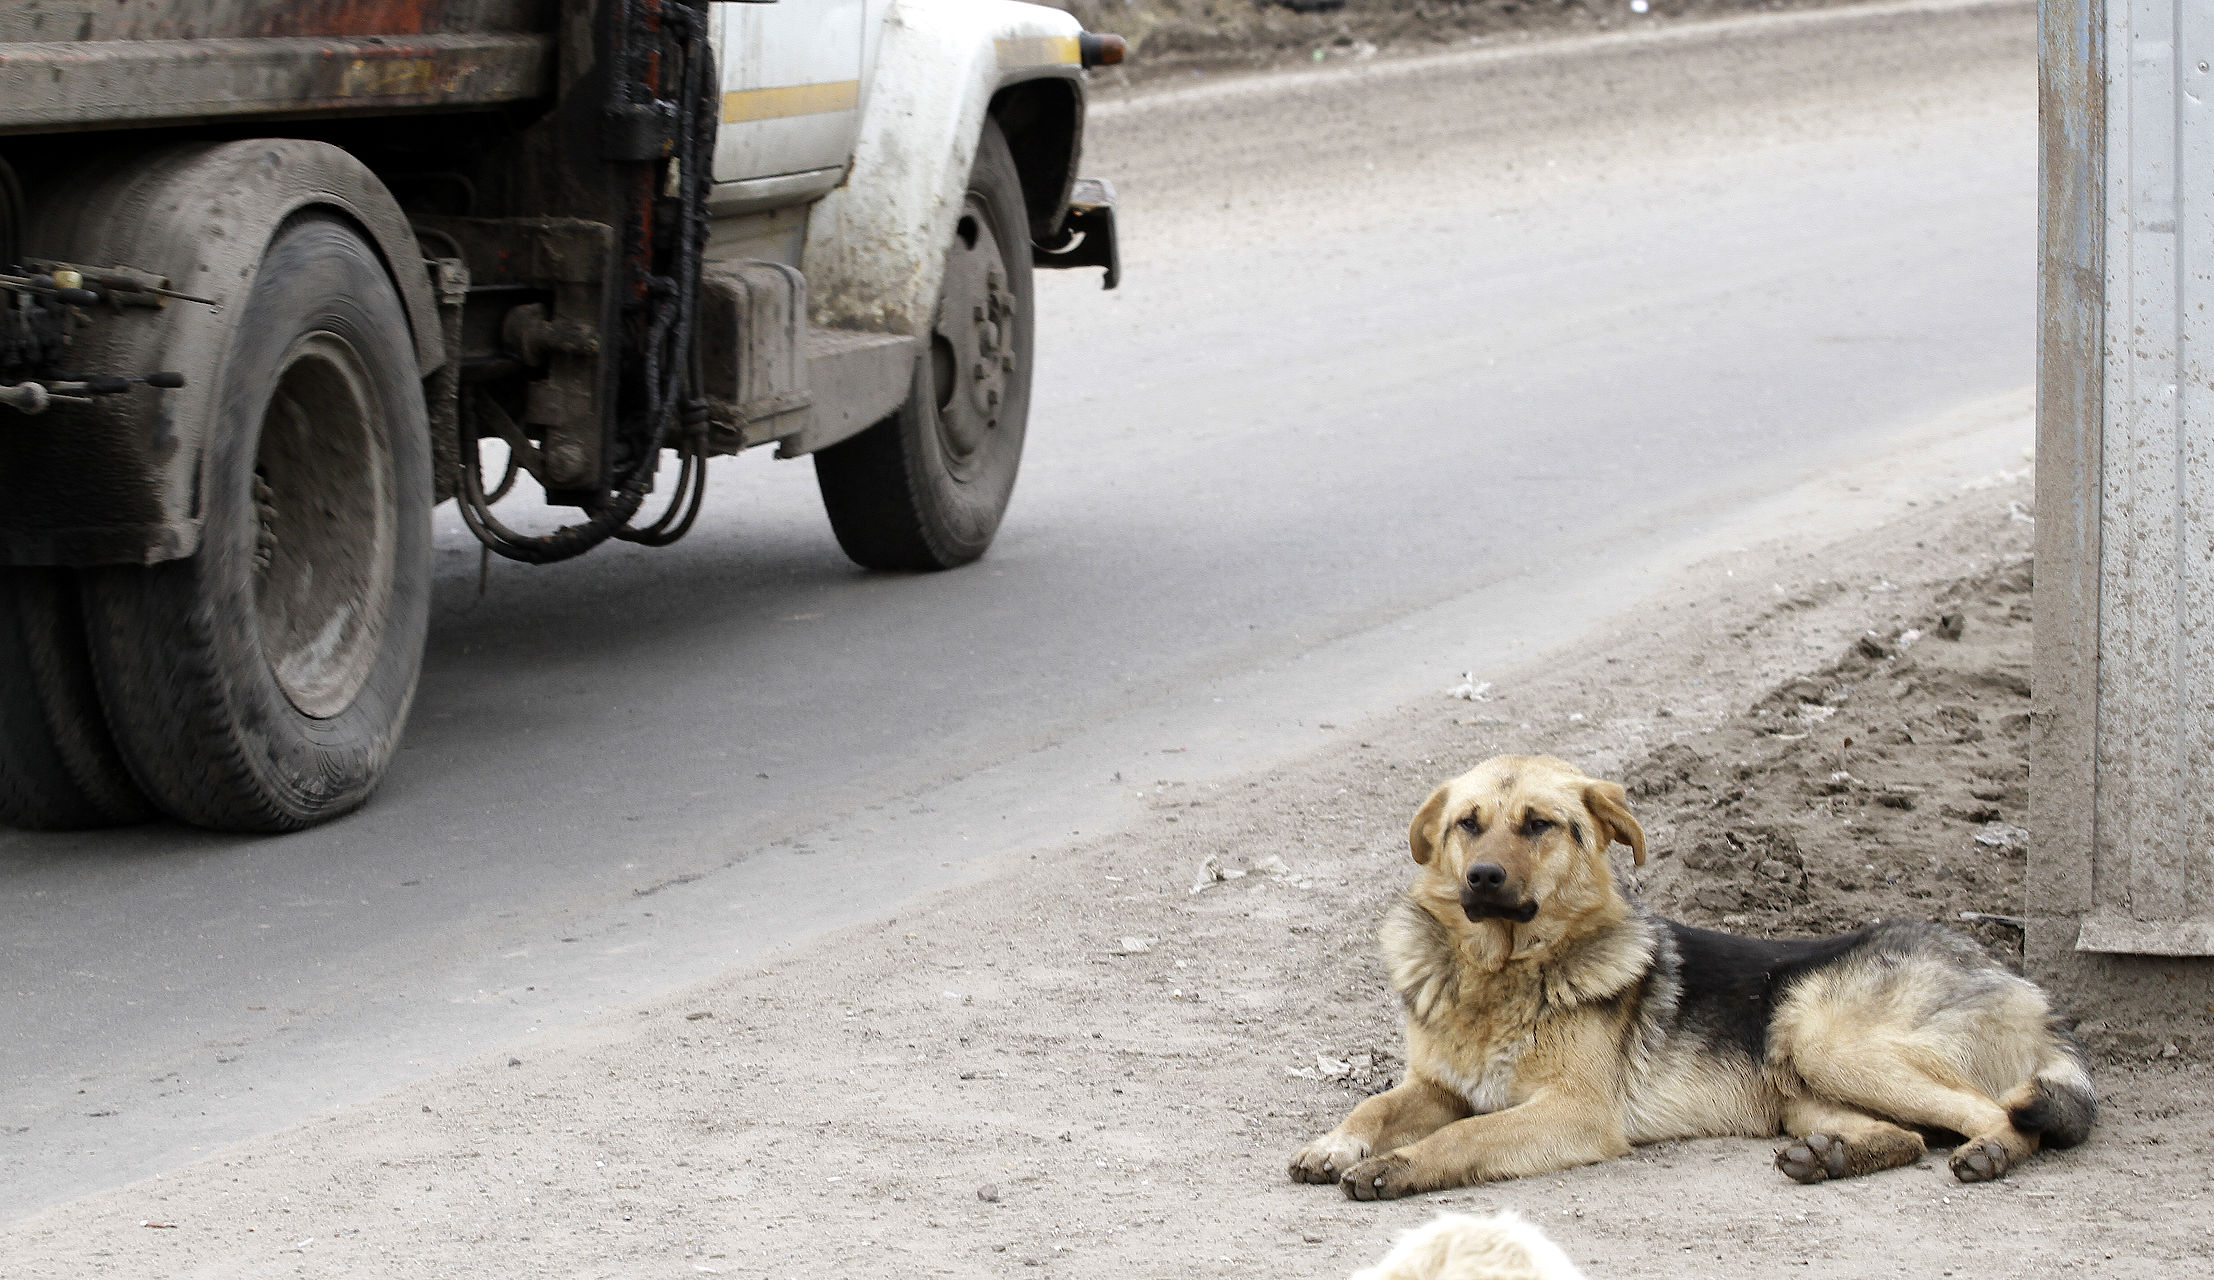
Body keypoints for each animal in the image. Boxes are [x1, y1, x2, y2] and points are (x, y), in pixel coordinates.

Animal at [1292, 752, 2081, 1186]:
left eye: (1538, 825)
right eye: (1468, 824)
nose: (1482, 879)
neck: (1503, 971)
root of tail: (2018, 982)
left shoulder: (1576, 1113)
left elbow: (1465, 1137)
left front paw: (1396, 1166)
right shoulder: (1436, 1086)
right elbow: (1374, 1107)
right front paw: (1335, 1145)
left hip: (1825, 1037)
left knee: (2003, 1114)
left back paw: (1991, 1152)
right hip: (1799, 1088)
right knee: (1908, 1136)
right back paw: (1829, 1157)